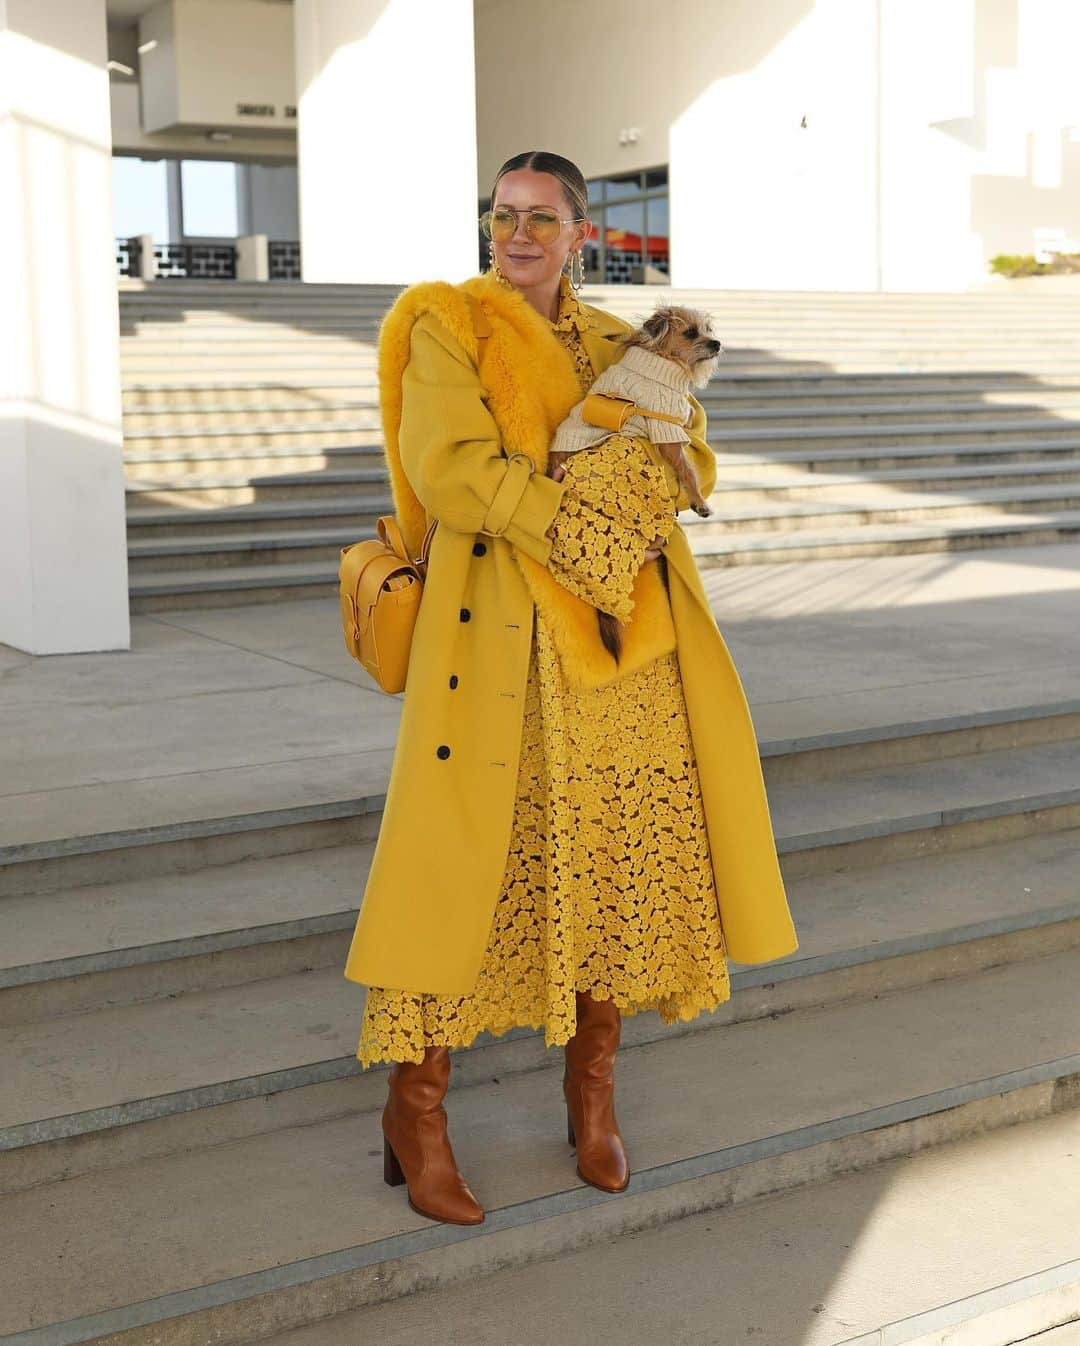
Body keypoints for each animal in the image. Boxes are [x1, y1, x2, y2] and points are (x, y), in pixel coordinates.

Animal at [552, 304, 721, 662]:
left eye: (708, 329)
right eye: (691, 333)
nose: (717, 343)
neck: (663, 363)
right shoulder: (665, 429)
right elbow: (687, 469)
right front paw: (699, 501)